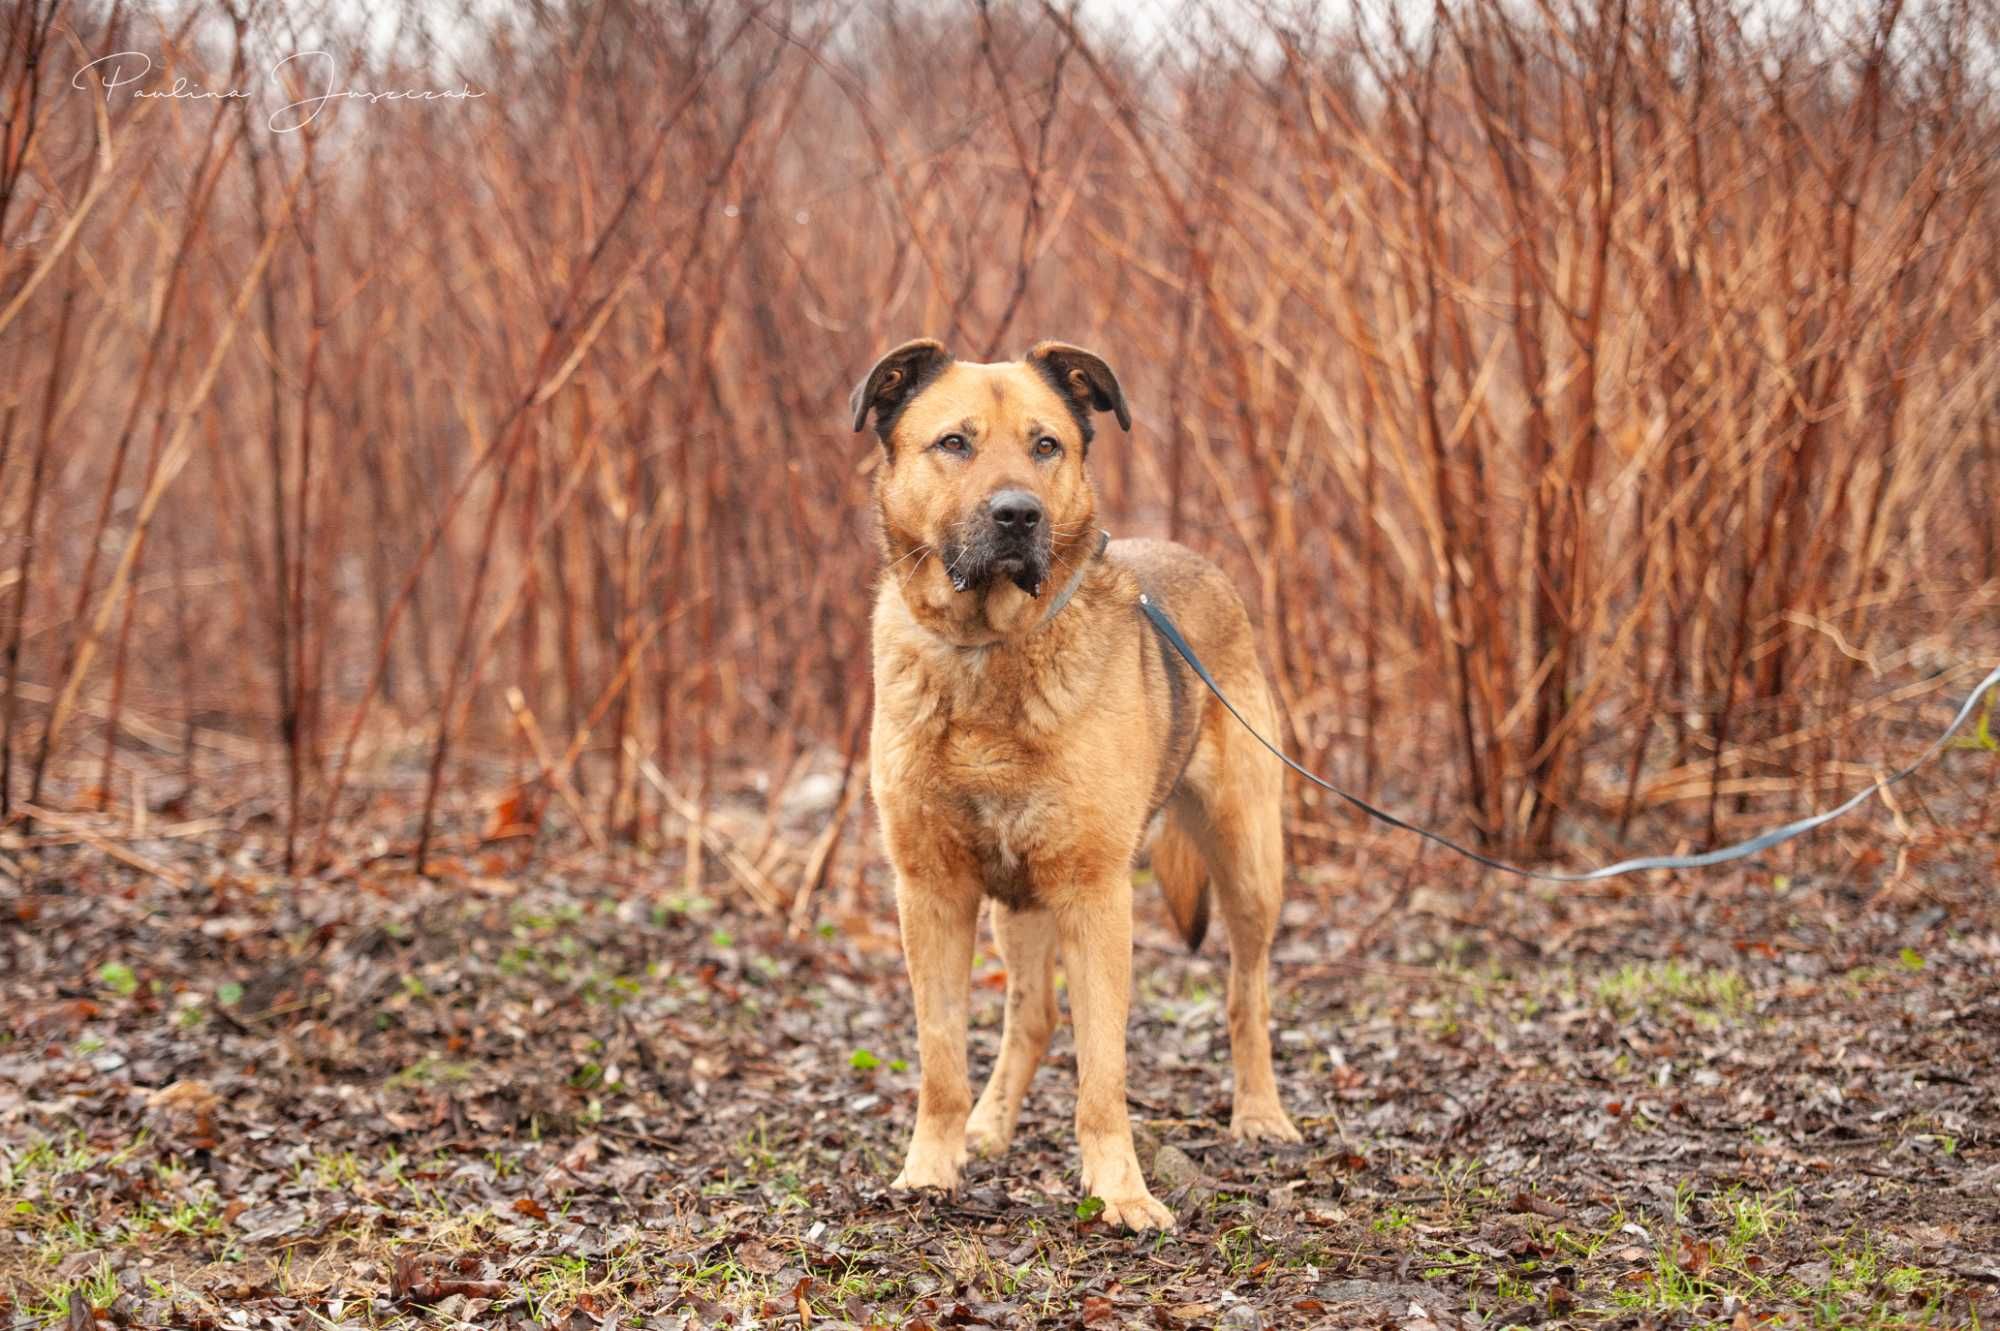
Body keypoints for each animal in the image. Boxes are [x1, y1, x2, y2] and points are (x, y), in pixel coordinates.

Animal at [856, 337, 1296, 1231]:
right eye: (954, 443)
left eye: (1045, 445)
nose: (1019, 514)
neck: (988, 650)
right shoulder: (932, 890)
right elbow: (941, 1057)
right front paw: (931, 1169)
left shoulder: (1095, 895)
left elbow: (1104, 1071)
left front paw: (1121, 1192)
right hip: (1016, 900)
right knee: (1032, 1014)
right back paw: (989, 1124)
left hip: (1248, 863)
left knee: (1248, 992)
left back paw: (1260, 1113)